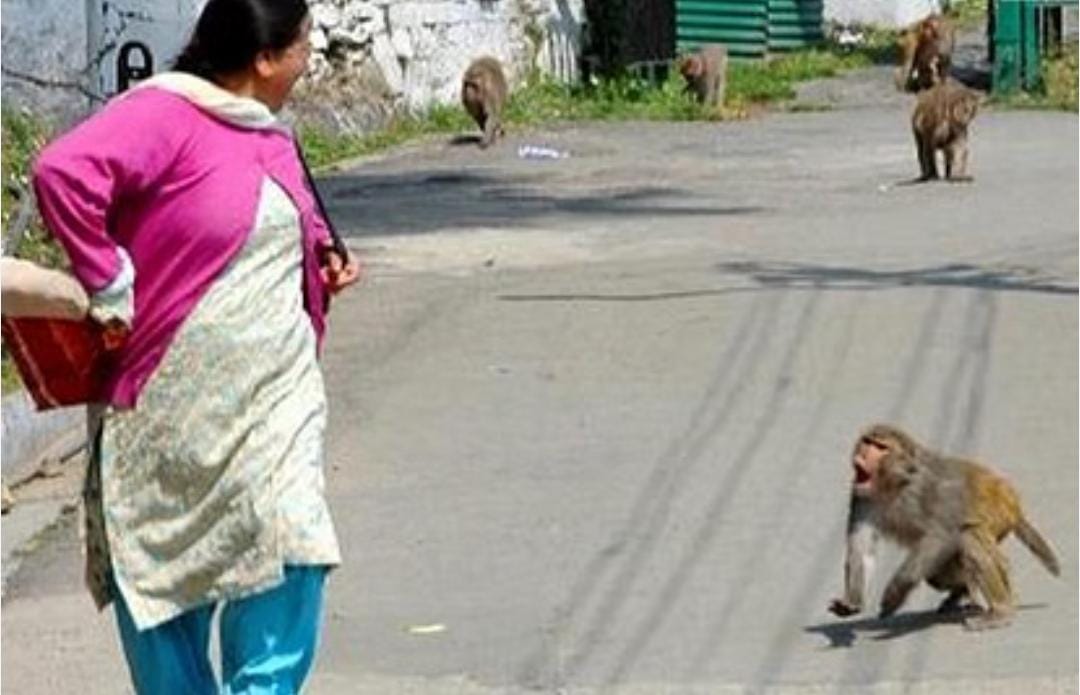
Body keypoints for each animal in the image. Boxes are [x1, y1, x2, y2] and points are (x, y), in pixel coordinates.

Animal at [828, 424, 1060, 631]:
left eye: (881, 447)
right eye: (867, 442)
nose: (864, 453)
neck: (895, 484)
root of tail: (1011, 498)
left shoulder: (929, 489)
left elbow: (942, 533)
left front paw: (896, 591)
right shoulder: (861, 496)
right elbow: (862, 549)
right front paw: (852, 600)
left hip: (999, 515)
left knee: (968, 536)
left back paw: (1000, 610)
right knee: (937, 575)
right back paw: (962, 592)